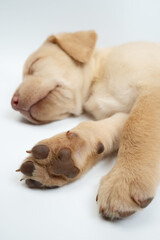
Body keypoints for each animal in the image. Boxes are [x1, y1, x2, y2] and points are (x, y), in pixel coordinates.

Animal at [11, 31, 160, 220]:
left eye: (34, 64)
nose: (13, 103)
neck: (98, 79)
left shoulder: (152, 88)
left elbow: (137, 128)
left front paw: (125, 178)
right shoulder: (120, 111)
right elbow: (114, 127)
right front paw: (68, 151)